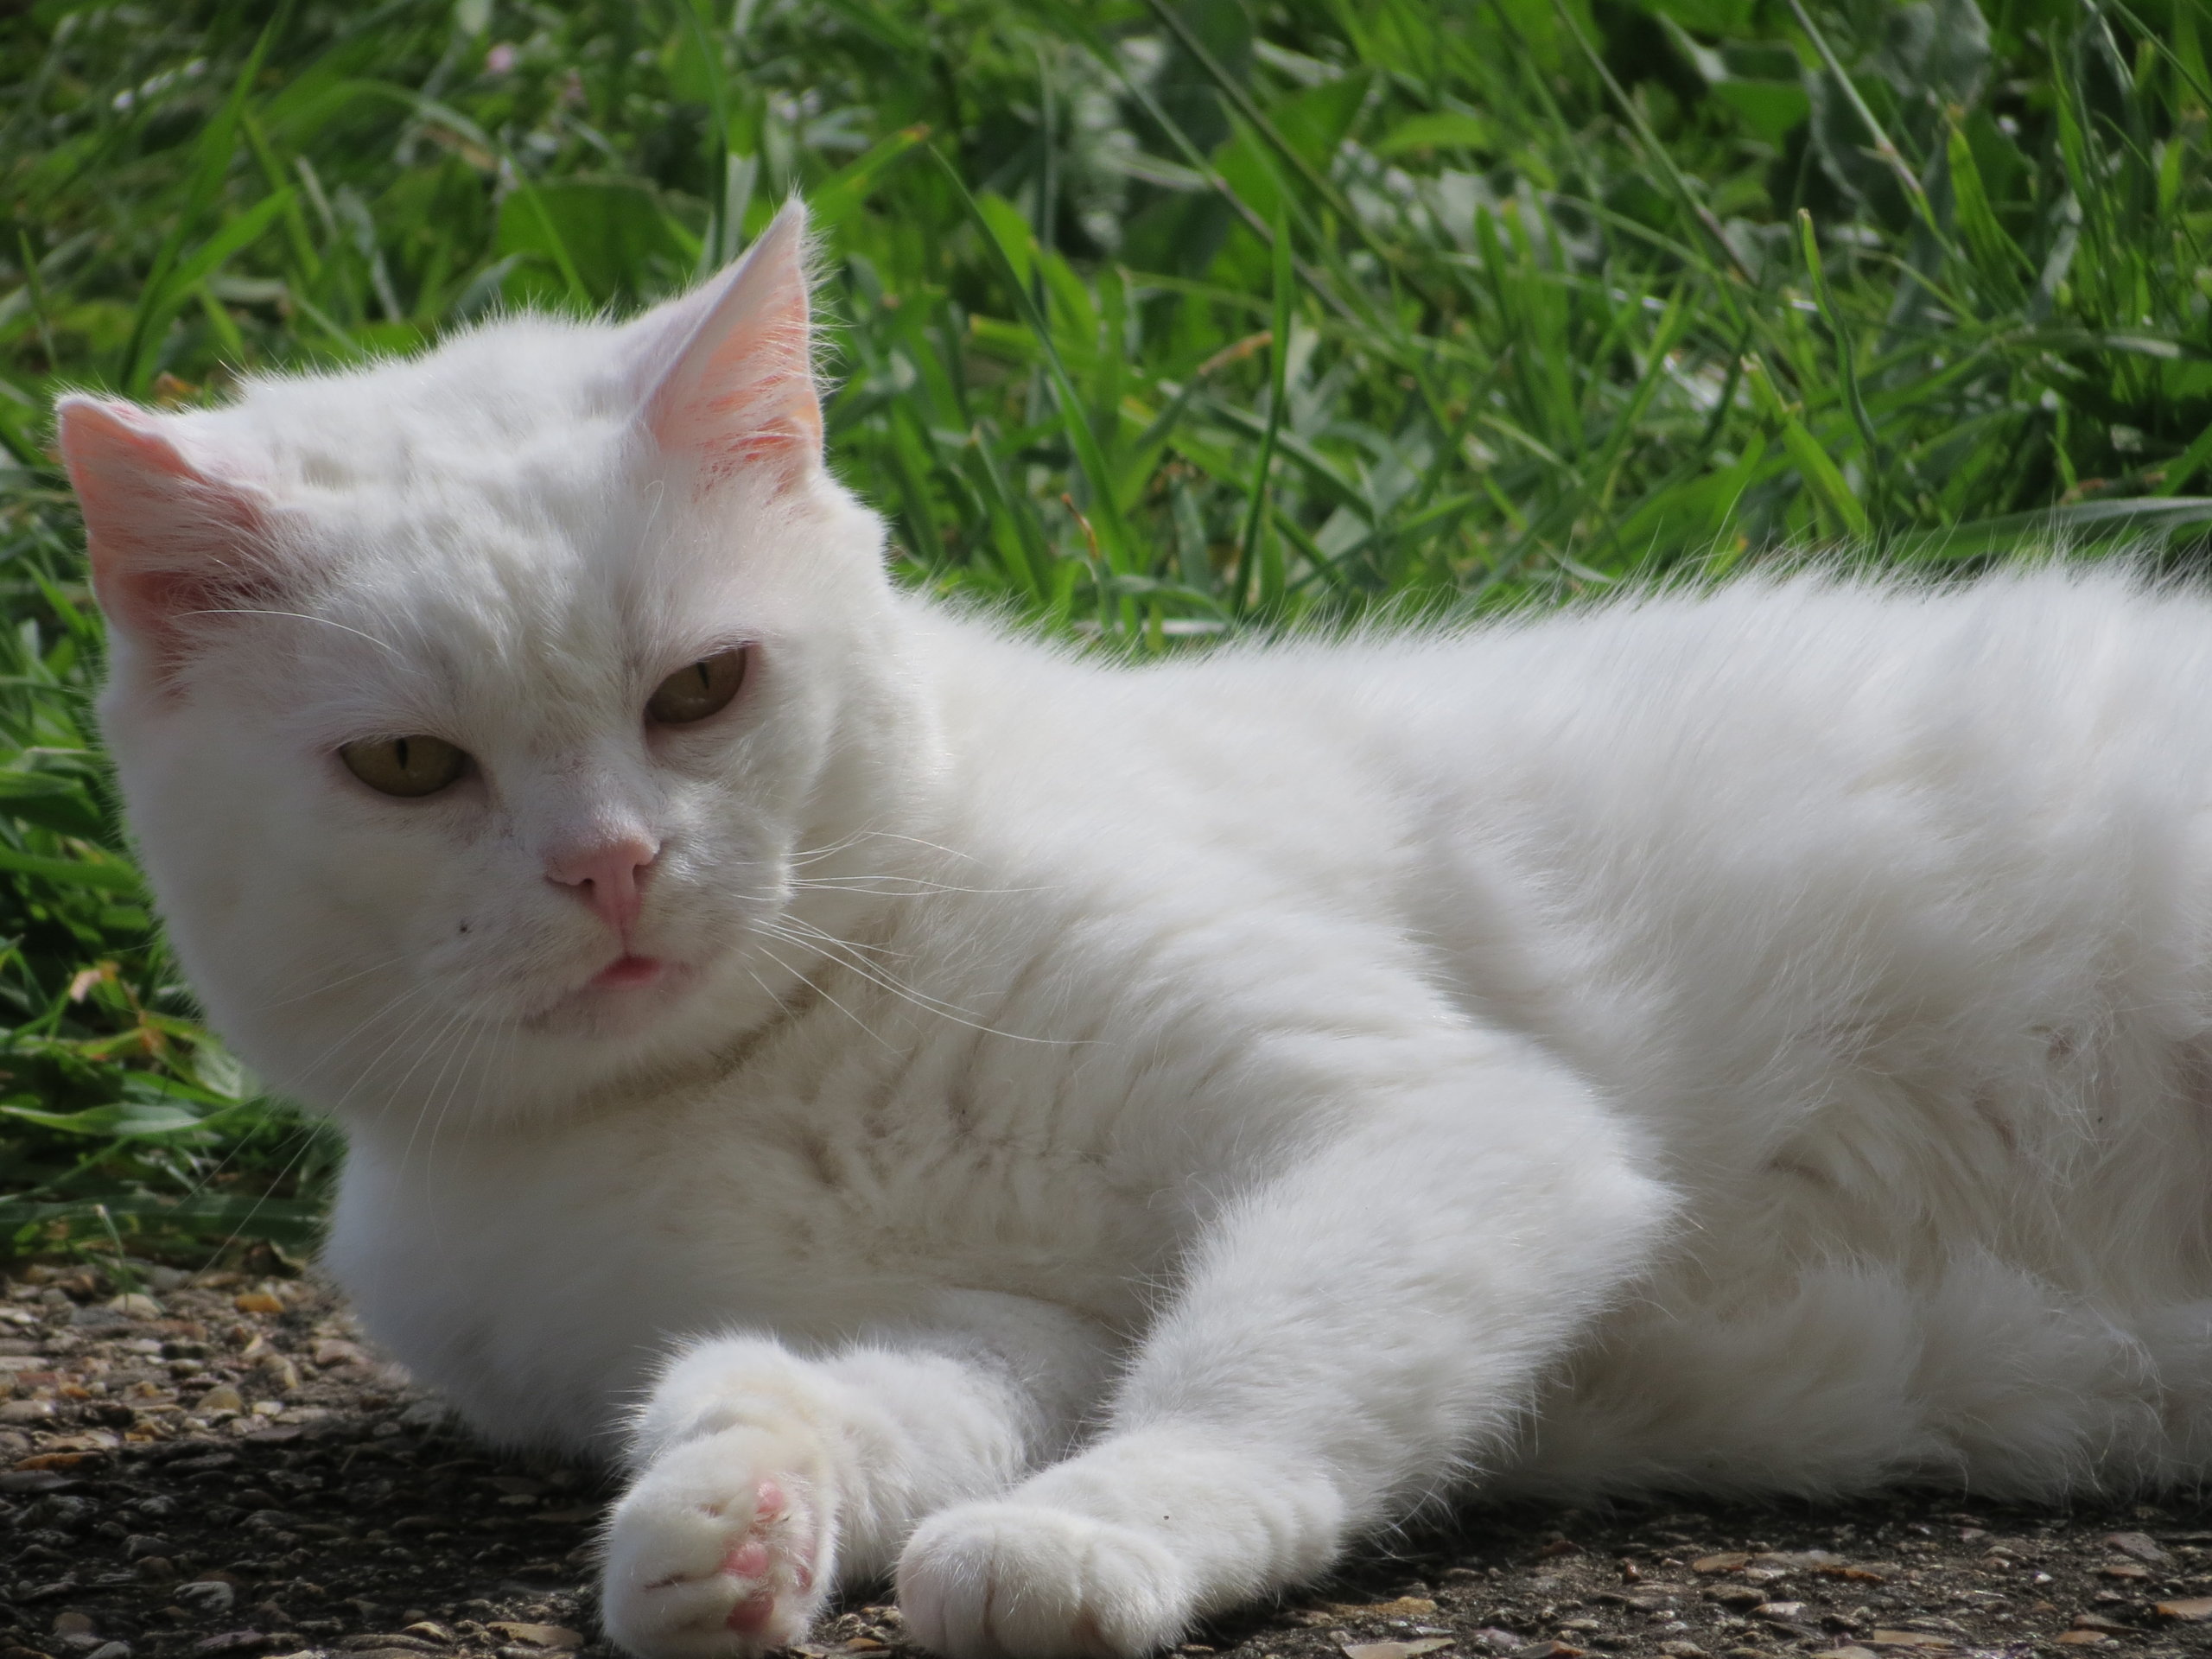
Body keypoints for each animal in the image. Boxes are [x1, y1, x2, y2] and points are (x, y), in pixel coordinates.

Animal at [52, 200, 2212, 1659]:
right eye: (409, 767)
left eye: (699, 692)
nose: (610, 866)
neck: (740, 1081)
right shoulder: (1011, 1324)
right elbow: (853, 1394)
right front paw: (727, 1511)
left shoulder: (1435, 1130)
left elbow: (1250, 1367)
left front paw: (1078, 1542)